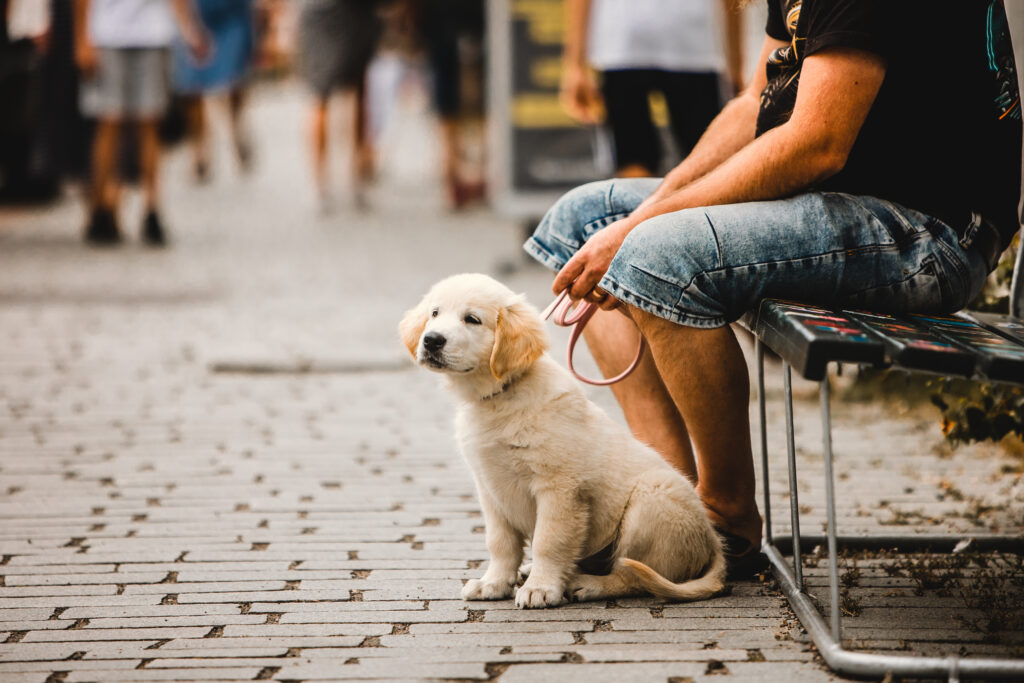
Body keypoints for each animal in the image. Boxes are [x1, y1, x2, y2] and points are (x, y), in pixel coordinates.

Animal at [395, 272, 724, 610]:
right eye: (435, 313)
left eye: (472, 319)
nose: (431, 339)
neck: (500, 397)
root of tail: (713, 542)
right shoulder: (490, 488)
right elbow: (500, 542)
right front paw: (494, 582)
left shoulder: (559, 487)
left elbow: (548, 540)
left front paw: (541, 588)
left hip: (651, 501)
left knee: (633, 575)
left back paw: (587, 584)